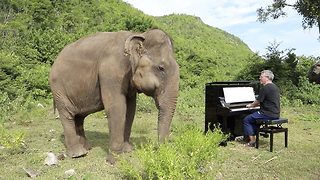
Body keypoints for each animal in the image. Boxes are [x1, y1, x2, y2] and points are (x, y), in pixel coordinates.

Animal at [49, 28, 180, 164]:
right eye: (161, 68)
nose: (158, 148)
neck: (139, 35)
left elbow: (130, 109)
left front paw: (127, 150)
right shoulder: (111, 72)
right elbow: (117, 108)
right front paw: (114, 159)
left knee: (79, 117)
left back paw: (87, 148)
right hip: (58, 89)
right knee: (67, 115)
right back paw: (78, 154)